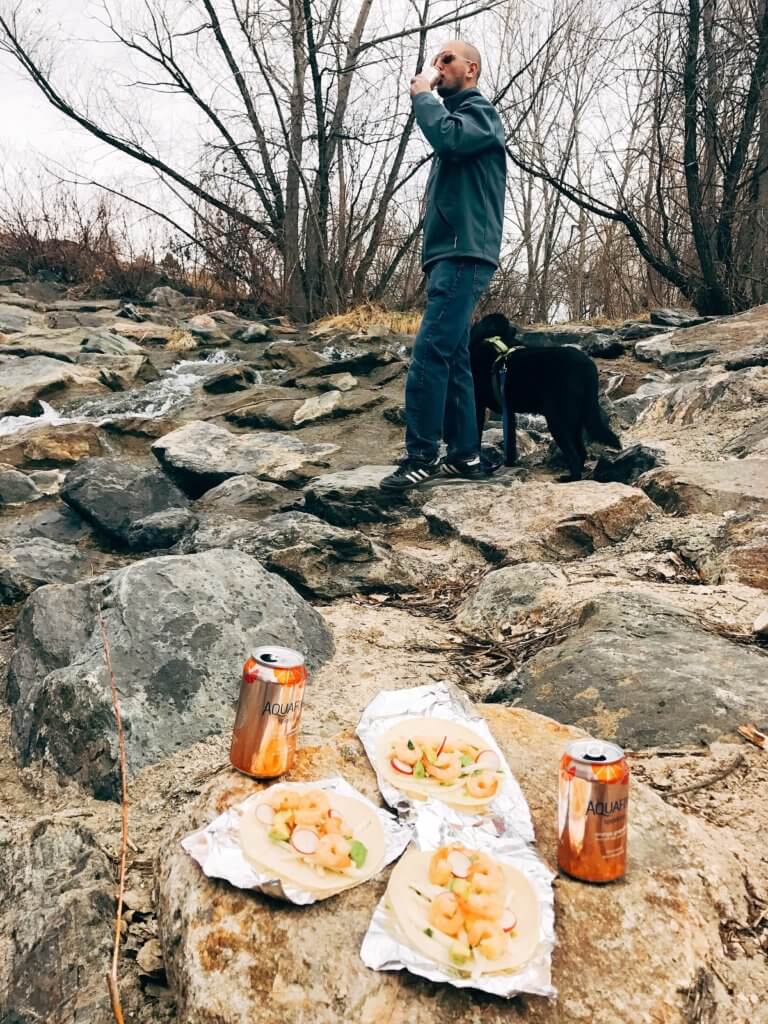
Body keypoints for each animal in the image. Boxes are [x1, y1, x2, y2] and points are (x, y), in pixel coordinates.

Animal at [468, 311, 626, 479]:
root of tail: (586, 364)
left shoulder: (479, 406)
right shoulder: (508, 413)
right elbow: (510, 443)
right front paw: (509, 464)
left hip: (557, 418)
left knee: (574, 455)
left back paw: (569, 478)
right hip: (576, 418)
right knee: (581, 452)